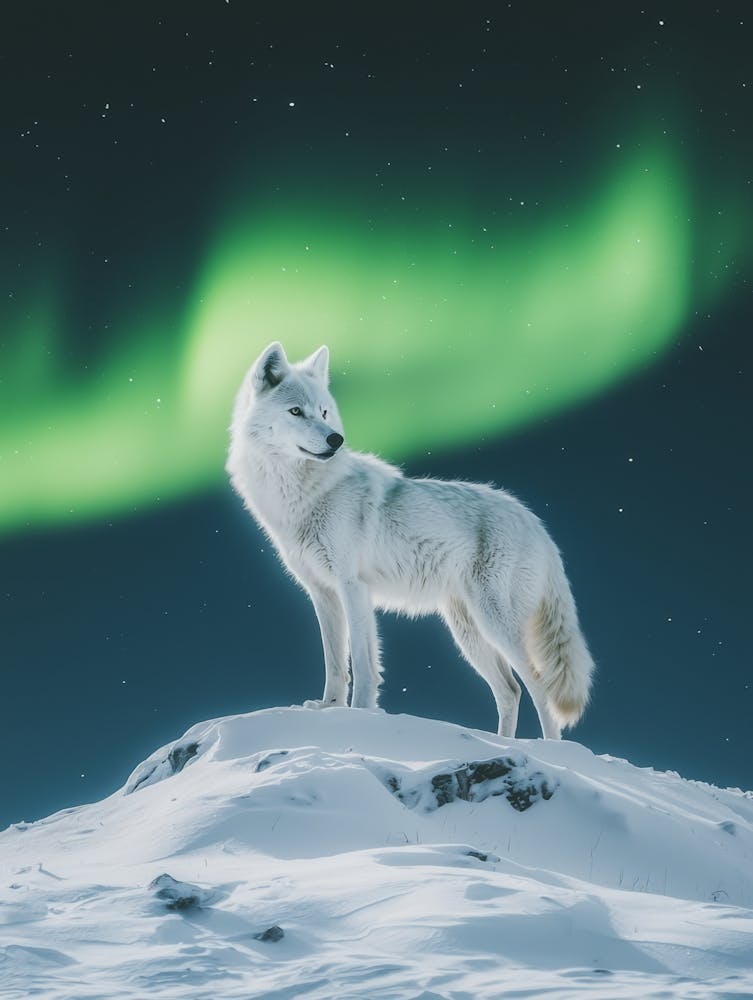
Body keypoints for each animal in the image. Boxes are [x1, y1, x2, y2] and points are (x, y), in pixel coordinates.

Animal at [226, 342, 594, 739]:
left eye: (324, 412)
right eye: (296, 411)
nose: (335, 440)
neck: (304, 494)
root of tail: (536, 524)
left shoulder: (352, 586)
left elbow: (362, 663)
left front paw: (359, 714)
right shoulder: (323, 593)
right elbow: (336, 663)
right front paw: (330, 708)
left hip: (494, 624)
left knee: (540, 685)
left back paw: (549, 749)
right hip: (468, 632)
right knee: (510, 691)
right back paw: (503, 744)